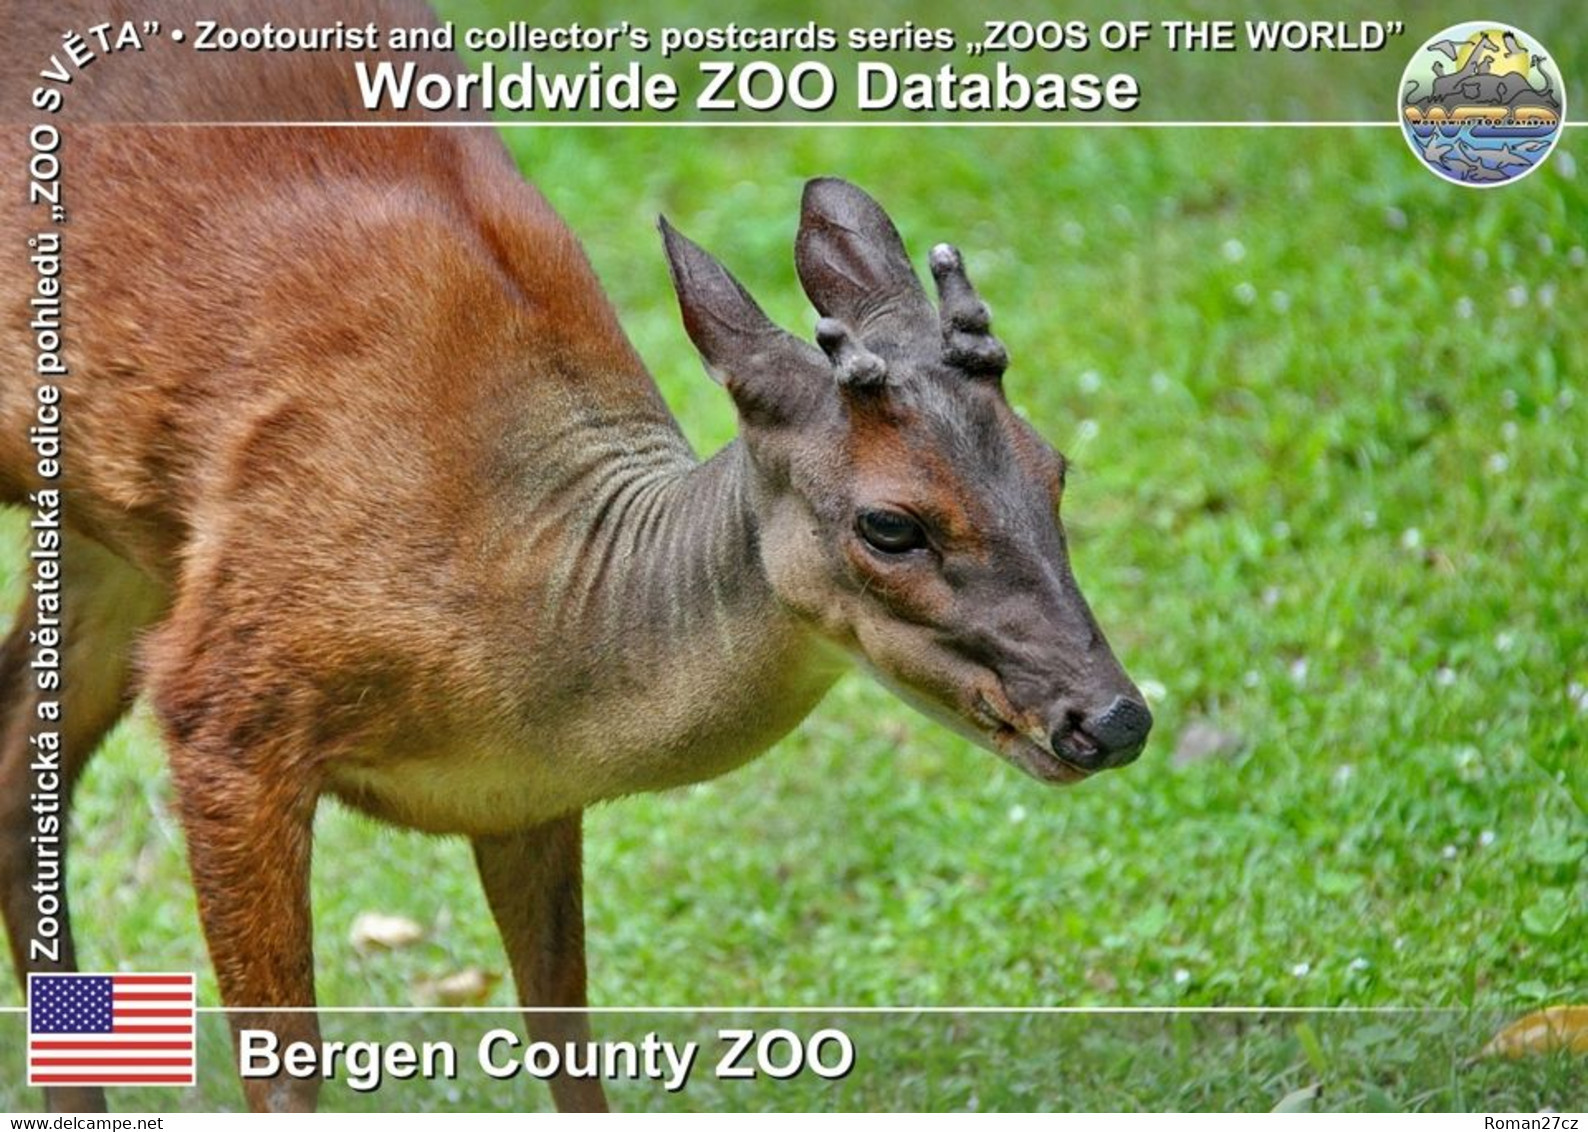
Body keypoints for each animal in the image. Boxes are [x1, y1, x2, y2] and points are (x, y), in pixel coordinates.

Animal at [0, 0, 1143, 1111]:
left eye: (1054, 467)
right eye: (891, 524)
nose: (1113, 717)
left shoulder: (525, 794)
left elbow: (566, 1036)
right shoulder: (230, 695)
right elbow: (289, 1074)